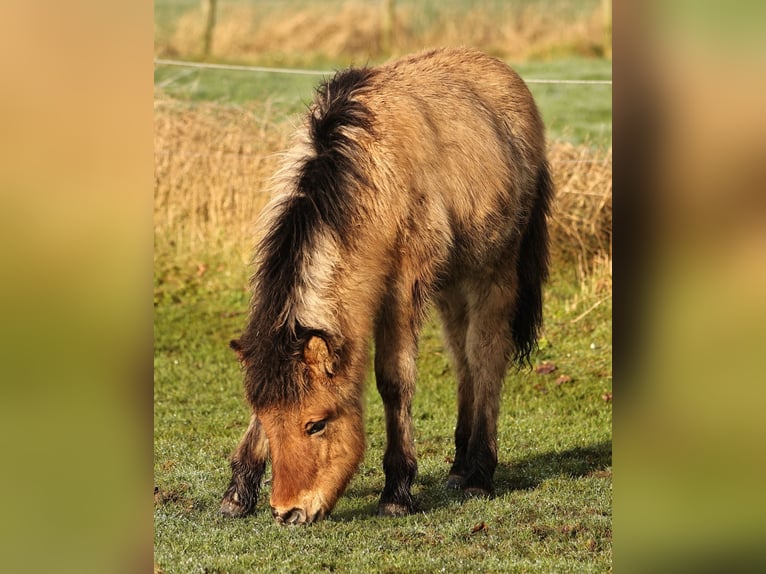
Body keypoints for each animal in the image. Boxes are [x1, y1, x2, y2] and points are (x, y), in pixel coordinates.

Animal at [220, 47, 553, 525]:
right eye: (267, 421)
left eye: (316, 424)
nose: (289, 511)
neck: (371, 172)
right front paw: (237, 492)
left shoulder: (402, 293)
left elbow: (394, 382)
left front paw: (397, 491)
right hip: (451, 284)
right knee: (462, 361)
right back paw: (458, 467)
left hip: (494, 271)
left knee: (486, 356)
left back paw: (478, 474)